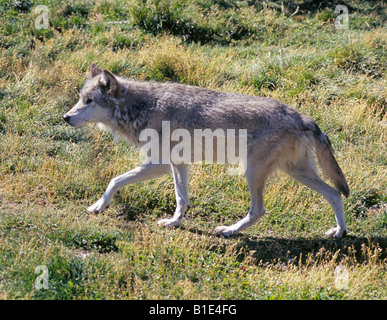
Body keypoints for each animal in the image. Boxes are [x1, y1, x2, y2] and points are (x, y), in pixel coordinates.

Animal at [64, 63, 352, 238]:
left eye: (89, 101)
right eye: (79, 99)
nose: (65, 117)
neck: (140, 107)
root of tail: (302, 116)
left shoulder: (158, 164)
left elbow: (115, 180)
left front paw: (98, 206)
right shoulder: (178, 164)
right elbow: (181, 198)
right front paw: (174, 223)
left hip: (253, 172)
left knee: (259, 210)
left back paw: (230, 231)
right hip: (296, 172)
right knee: (335, 194)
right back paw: (339, 232)